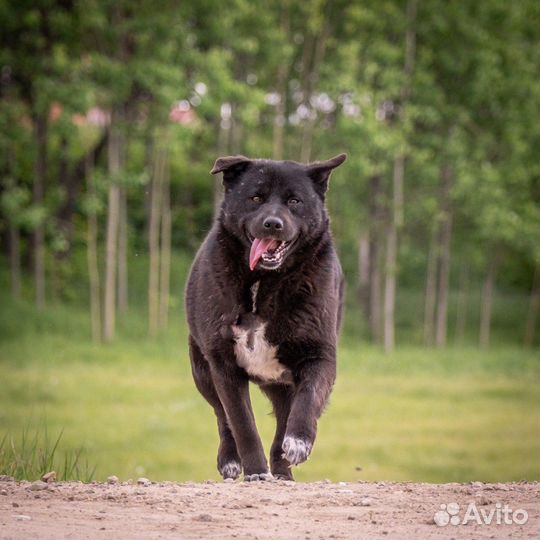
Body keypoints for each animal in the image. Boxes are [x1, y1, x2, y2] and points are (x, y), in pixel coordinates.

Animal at [186, 153, 346, 480]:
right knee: (222, 416)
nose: (273, 224)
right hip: (202, 371)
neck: (264, 281)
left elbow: (307, 400)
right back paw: (231, 460)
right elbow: (242, 423)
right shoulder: (223, 365)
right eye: (256, 197)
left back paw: (283, 470)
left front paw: (298, 442)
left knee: (284, 417)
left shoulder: (319, 355)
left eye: (295, 201)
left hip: (281, 383)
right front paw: (256, 471)